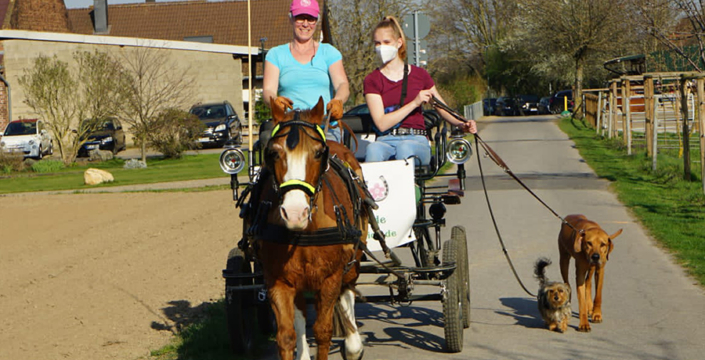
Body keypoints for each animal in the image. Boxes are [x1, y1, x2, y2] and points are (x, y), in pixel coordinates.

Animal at [258, 96, 368, 360]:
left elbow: (323, 331)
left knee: (347, 292)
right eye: (273, 153)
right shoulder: (278, 280)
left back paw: (353, 344)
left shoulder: (330, 278)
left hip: (352, 261)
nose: (295, 213)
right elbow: (287, 336)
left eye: (318, 153)